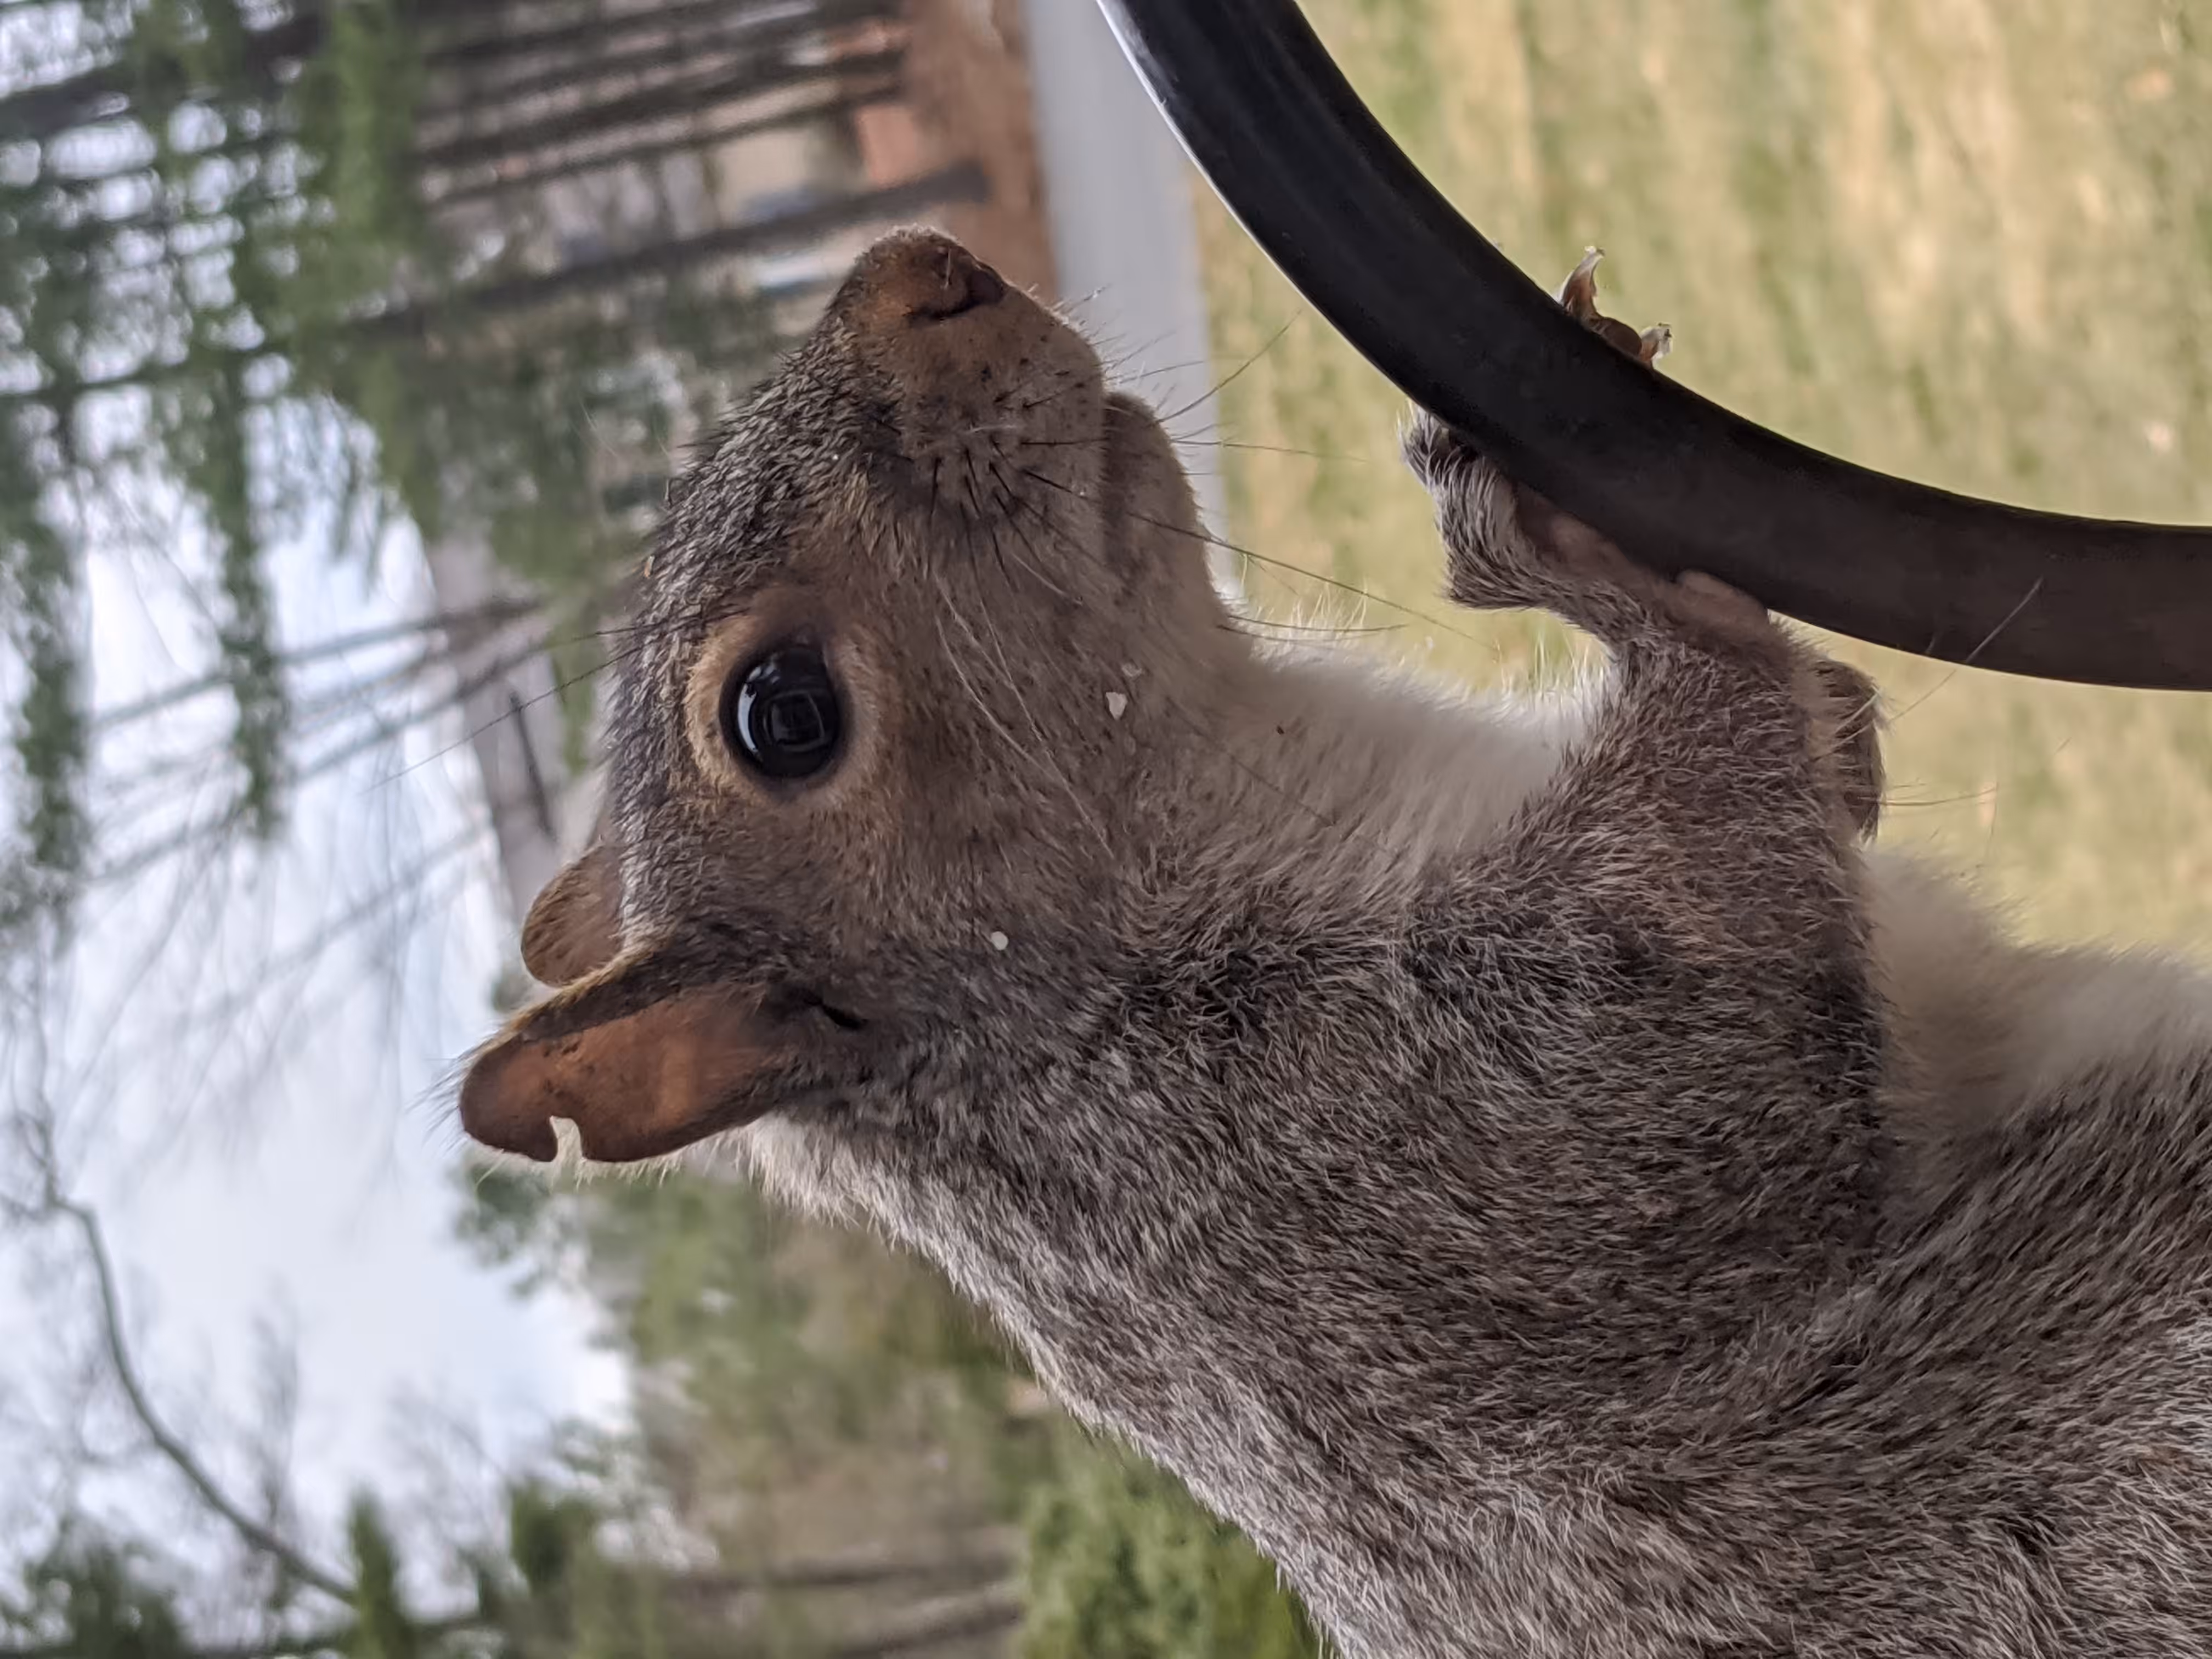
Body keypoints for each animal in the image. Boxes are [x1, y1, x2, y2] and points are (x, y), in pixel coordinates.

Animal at [463, 229, 2212, 1657]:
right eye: (781, 716)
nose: (919, 269)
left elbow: (1834, 760)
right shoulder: (1403, 1151)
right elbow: (1719, 981)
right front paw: (1543, 540)